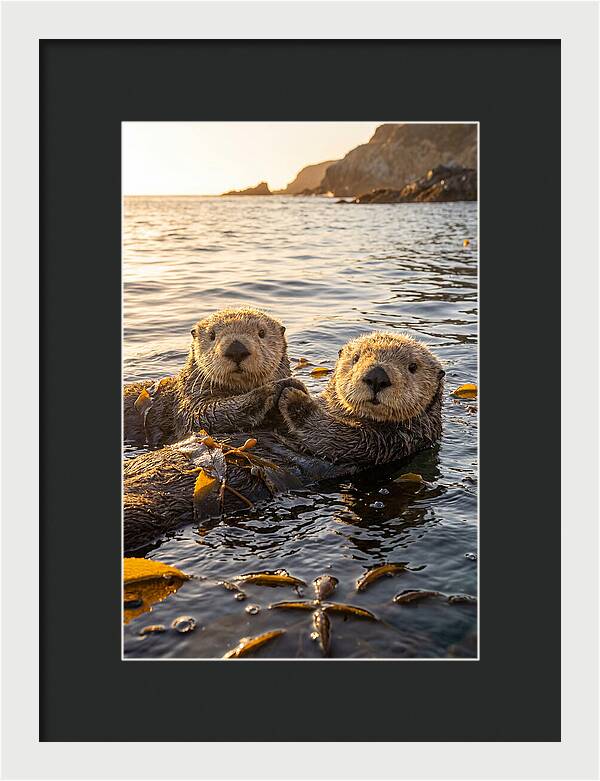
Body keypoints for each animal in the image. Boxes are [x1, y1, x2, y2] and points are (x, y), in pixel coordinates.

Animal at [123, 332, 444, 550]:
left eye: (412, 367)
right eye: (356, 359)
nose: (377, 376)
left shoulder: (388, 442)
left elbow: (332, 435)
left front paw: (293, 395)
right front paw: (281, 386)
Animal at [124, 307, 301, 447]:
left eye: (262, 333)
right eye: (212, 335)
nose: (236, 349)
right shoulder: (189, 402)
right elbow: (204, 415)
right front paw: (275, 388)